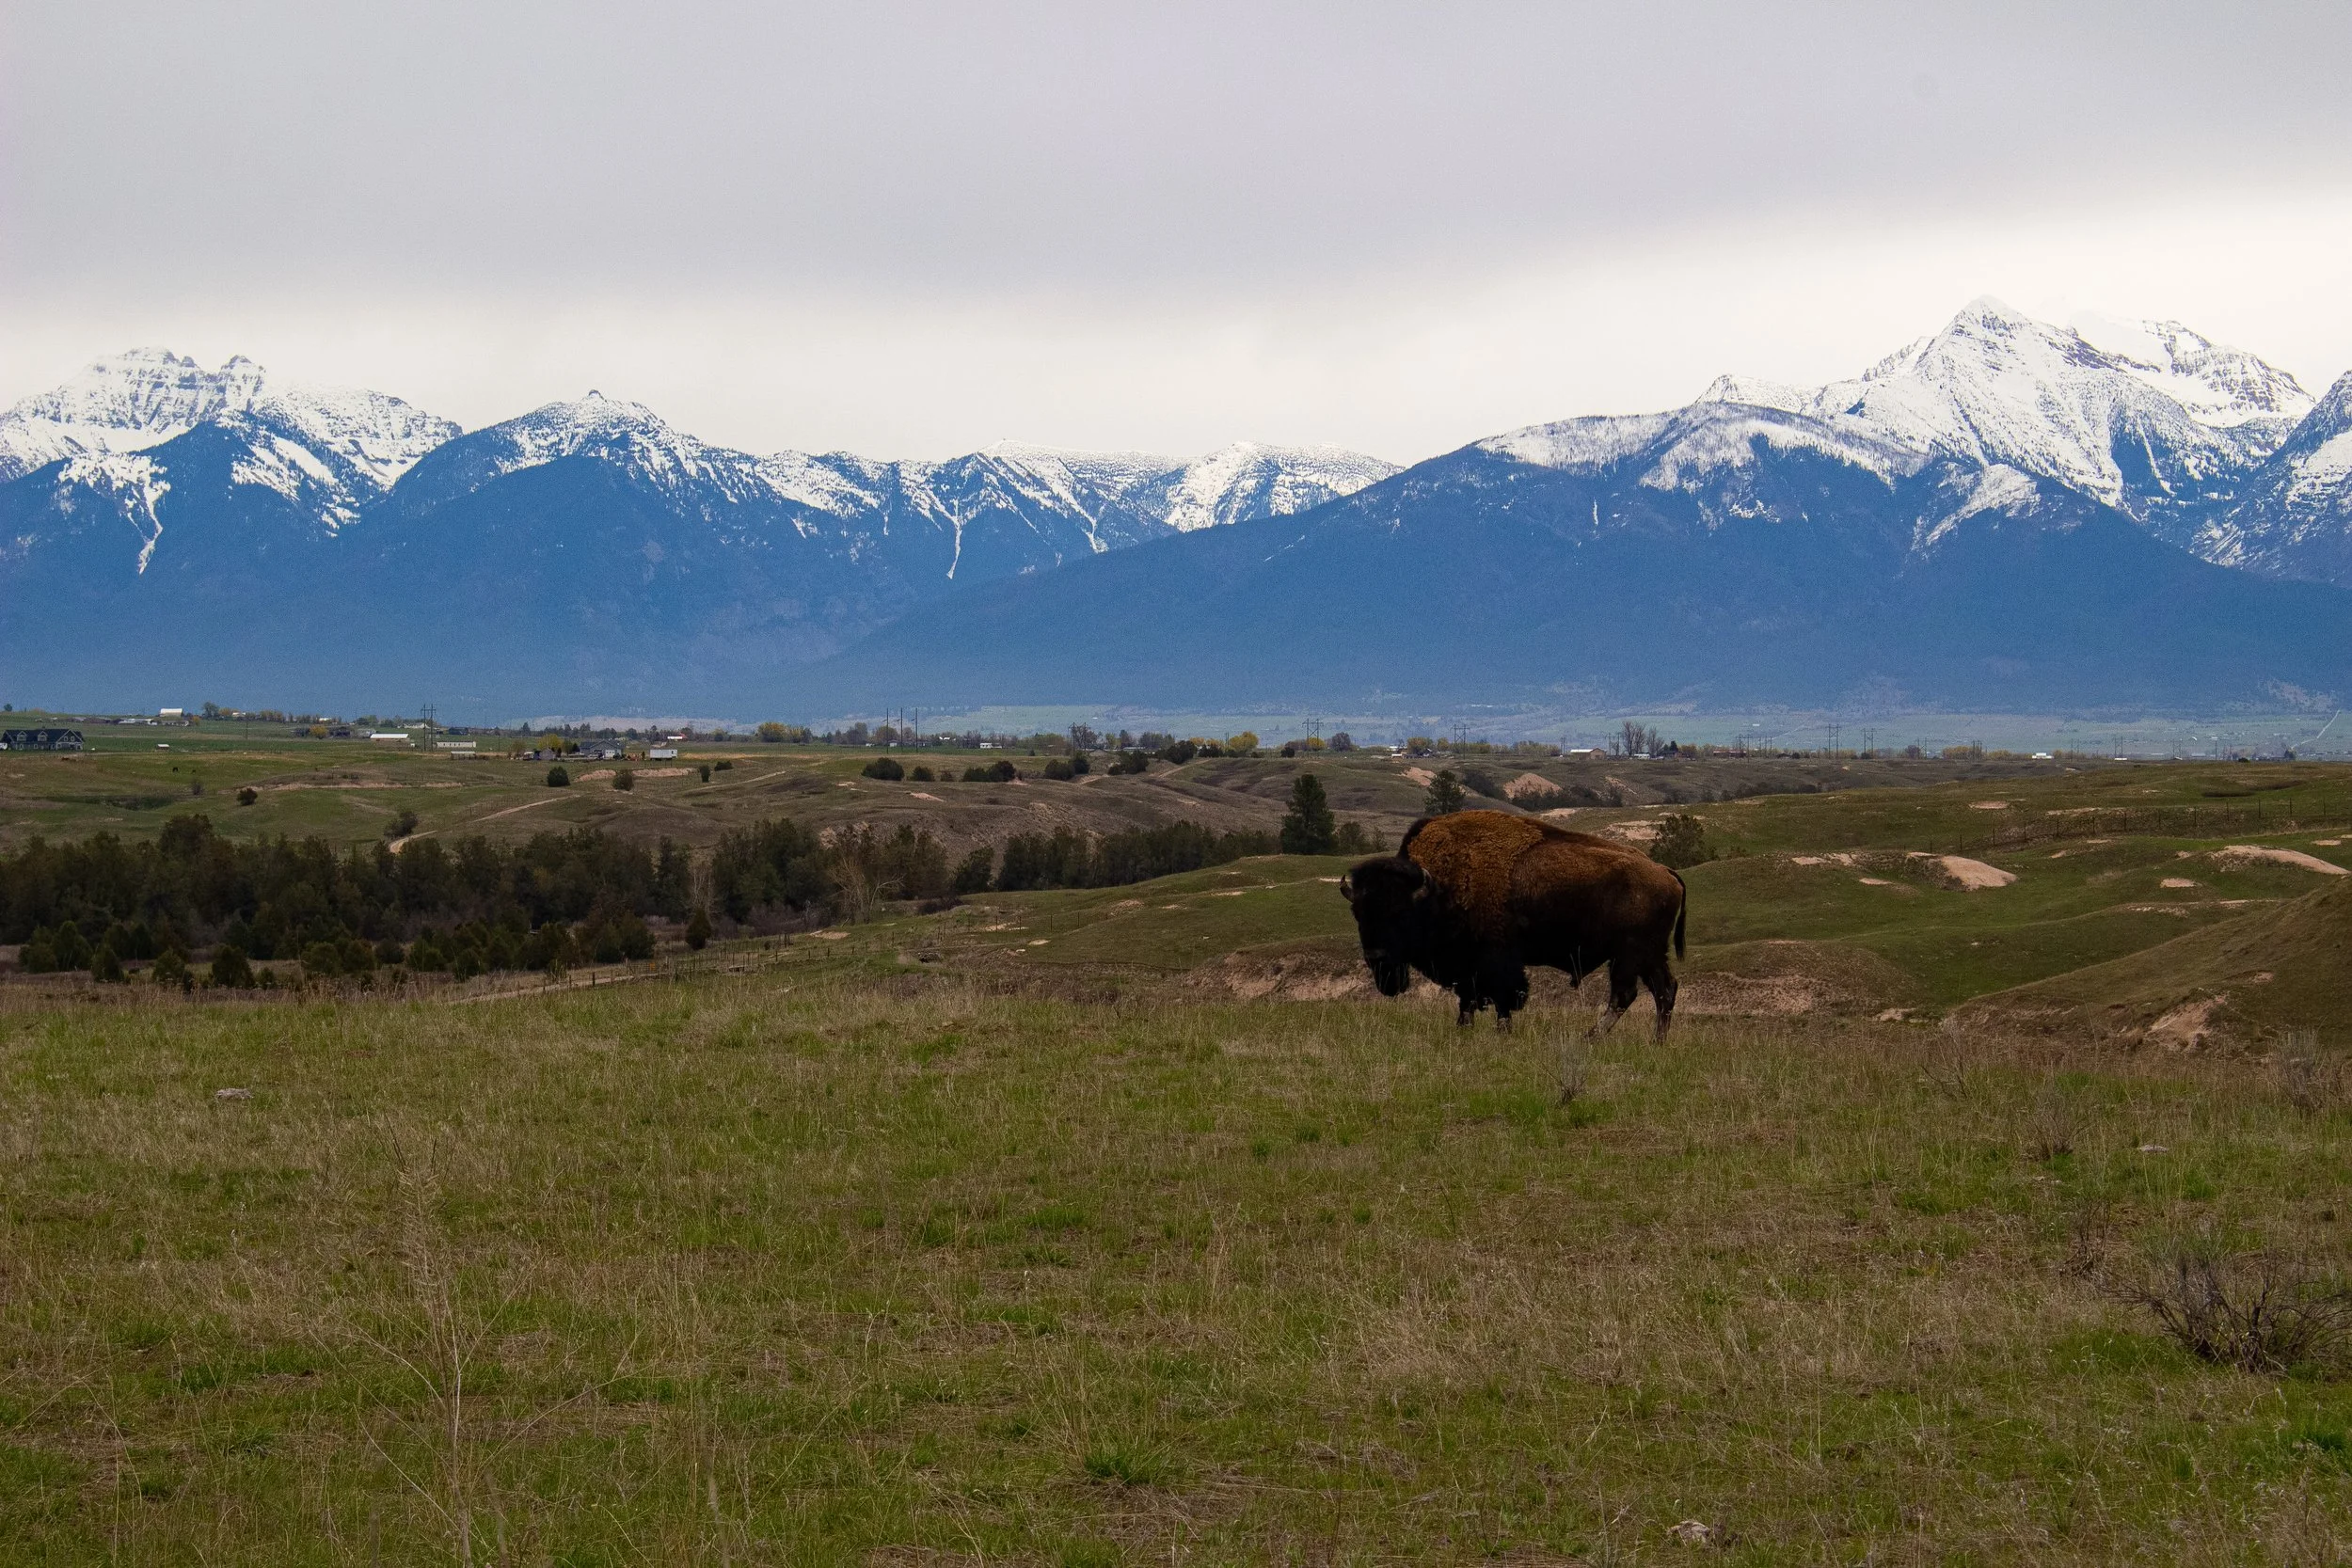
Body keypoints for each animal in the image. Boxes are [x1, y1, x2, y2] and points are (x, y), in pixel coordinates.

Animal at [1341, 809, 1686, 1040]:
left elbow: (1503, 998)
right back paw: (1656, 1042)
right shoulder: (1468, 968)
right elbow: (1467, 1001)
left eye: (1399, 913)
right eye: (1358, 913)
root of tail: (1664, 870)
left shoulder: (1495, 961)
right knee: (1664, 990)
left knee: (1624, 995)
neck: (1437, 887)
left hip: (1629, 954)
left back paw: (1590, 1038)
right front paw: (1464, 1031)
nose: (1376, 957)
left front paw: (1501, 1033)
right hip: (1650, 954)